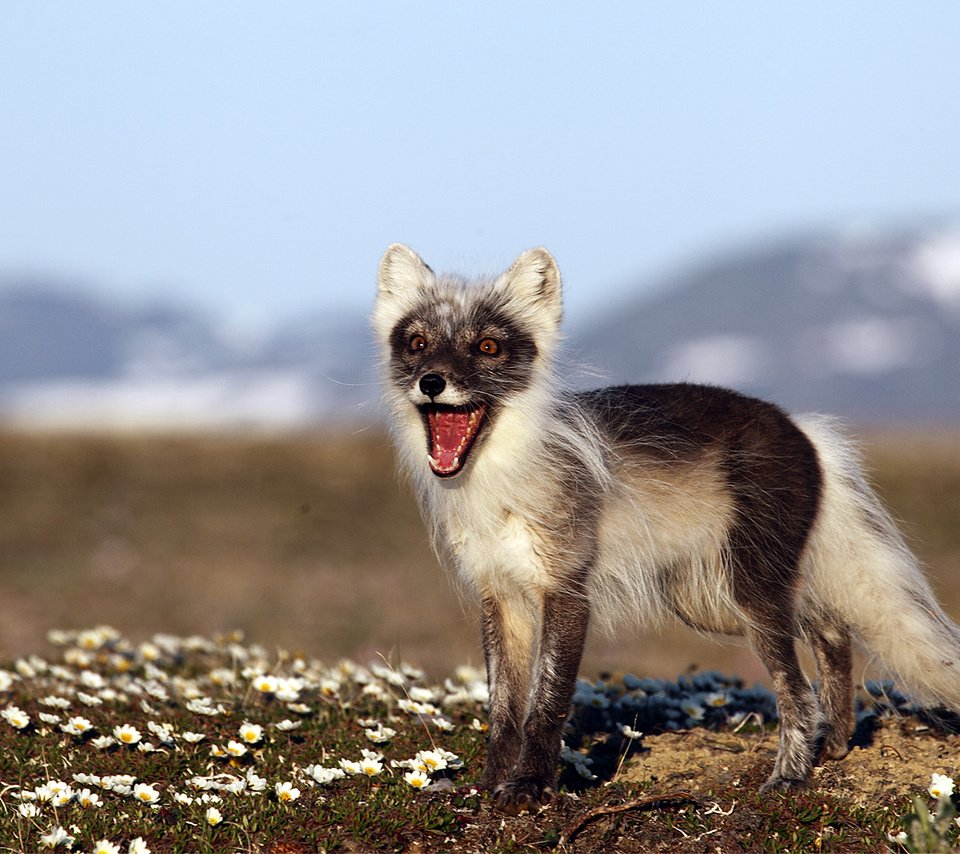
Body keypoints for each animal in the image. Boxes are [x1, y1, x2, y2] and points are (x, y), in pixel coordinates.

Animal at [374, 242, 960, 816]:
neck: (499, 482)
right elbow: (503, 708)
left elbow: (546, 702)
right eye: (418, 343)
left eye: (488, 347)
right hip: (712, 598)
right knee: (832, 632)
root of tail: (803, 427)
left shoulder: (566, 590)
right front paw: (491, 784)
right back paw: (835, 744)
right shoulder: (501, 595)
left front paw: (530, 787)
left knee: (798, 689)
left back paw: (791, 776)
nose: (431, 382)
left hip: (747, 591)